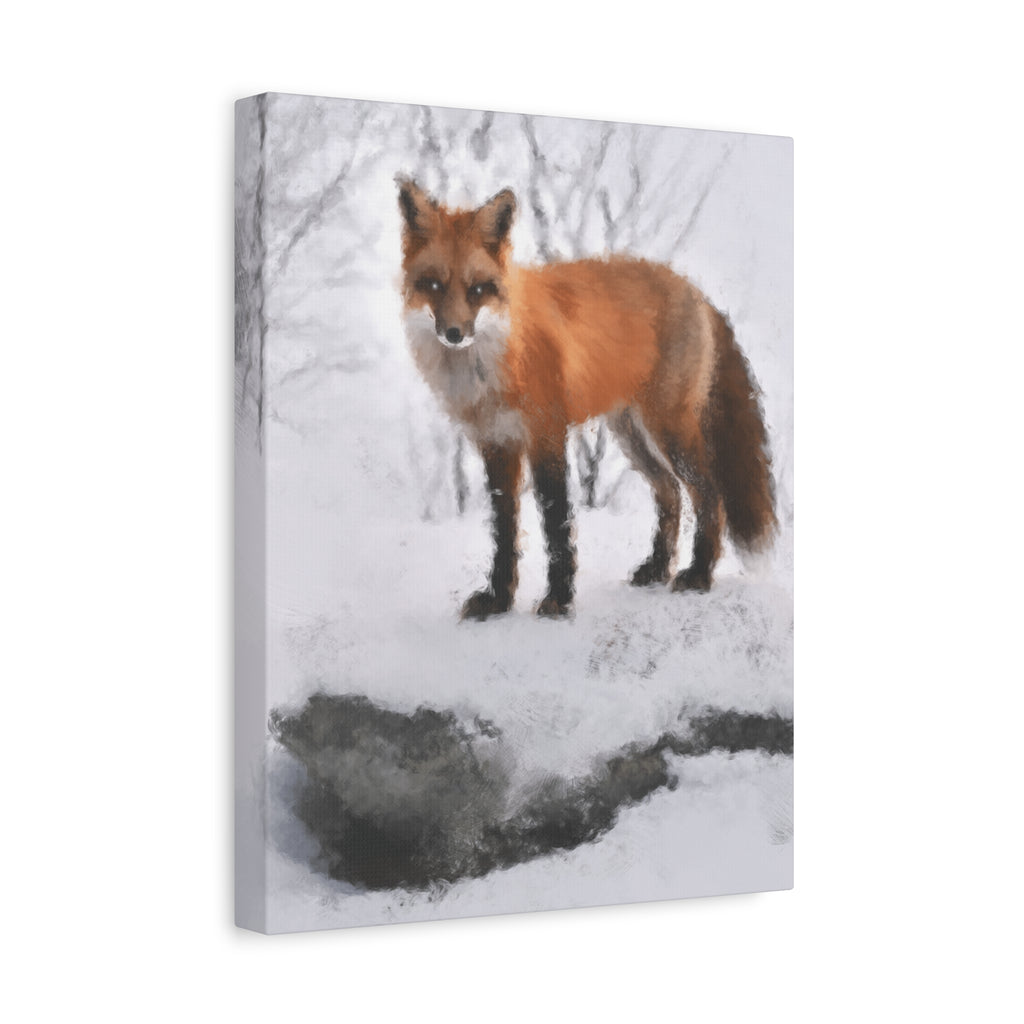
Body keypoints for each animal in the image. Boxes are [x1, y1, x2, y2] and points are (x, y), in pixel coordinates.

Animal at [398, 177, 776, 621]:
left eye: (476, 290)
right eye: (434, 285)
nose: (454, 334)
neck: (493, 363)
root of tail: (694, 288)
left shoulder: (546, 434)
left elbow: (556, 522)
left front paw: (559, 599)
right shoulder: (496, 444)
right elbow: (504, 531)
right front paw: (498, 600)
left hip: (669, 431)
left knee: (708, 494)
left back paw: (698, 574)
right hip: (632, 436)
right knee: (670, 494)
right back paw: (657, 568)